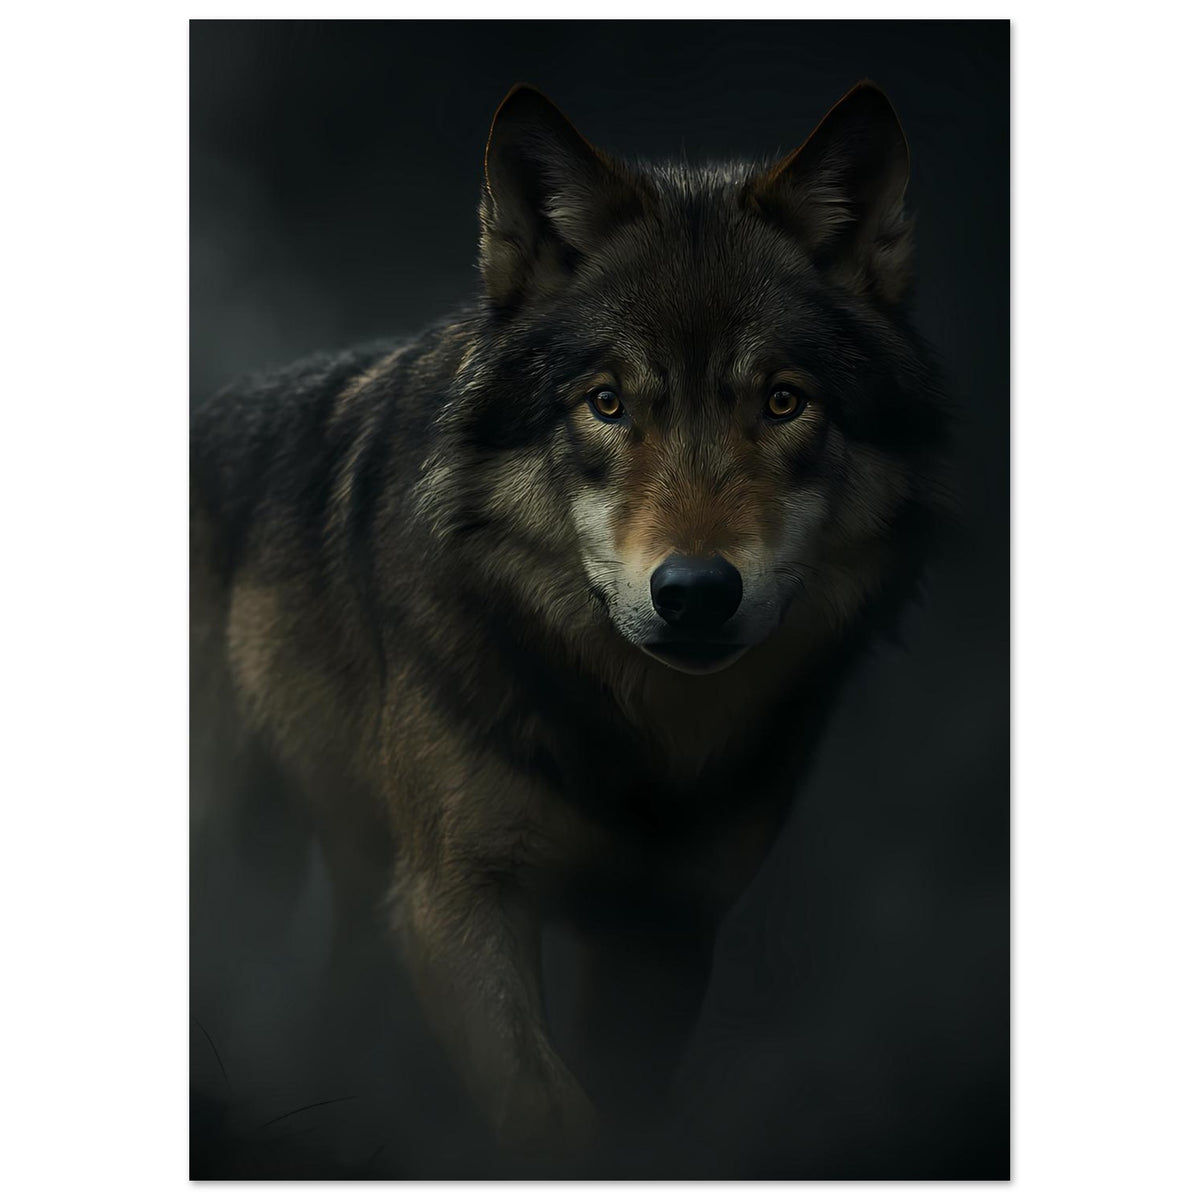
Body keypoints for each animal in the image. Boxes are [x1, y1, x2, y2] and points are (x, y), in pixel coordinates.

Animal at [190, 81, 949, 1159]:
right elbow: (549, 1113)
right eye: (606, 403)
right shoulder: (455, 900)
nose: (696, 591)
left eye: (782, 402)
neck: (636, 739)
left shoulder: (666, 932)